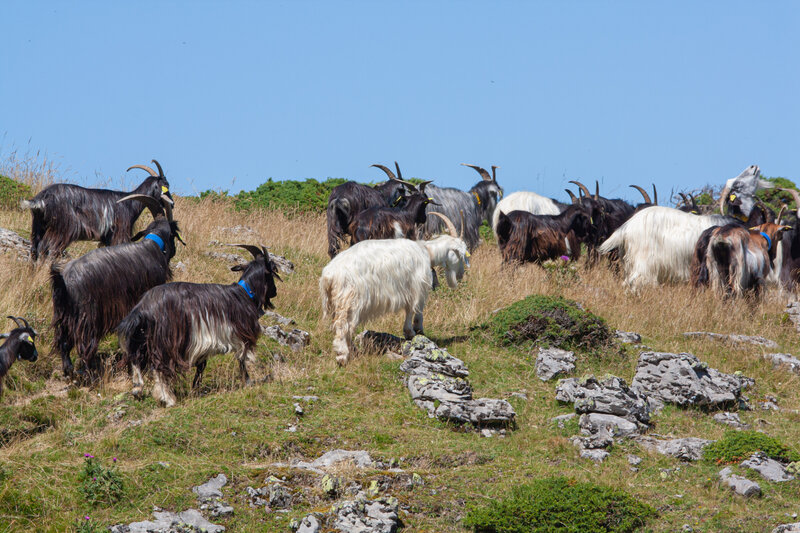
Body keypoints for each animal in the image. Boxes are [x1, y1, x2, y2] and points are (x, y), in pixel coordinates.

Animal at [23, 160, 173, 264]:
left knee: (35, 249)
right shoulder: (119, 234)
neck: (130, 203)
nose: (172, 203)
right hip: (61, 230)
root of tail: (42, 198)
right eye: (166, 185)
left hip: (38, 226)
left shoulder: (106, 239)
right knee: (48, 249)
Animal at [51, 194, 184, 378]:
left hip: (64, 316)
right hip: (87, 318)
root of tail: (64, 280)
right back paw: (88, 373)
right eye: (173, 235)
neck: (153, 246)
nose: (174, 251)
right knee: (85, 346)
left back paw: (68, 370)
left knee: (63, 342)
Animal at [117, 243, 282, 406]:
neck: (245, 294)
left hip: (142, 336)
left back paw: (137, 389)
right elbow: (242, 360)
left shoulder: (205, 344)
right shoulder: (243, 336)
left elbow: (202, 366)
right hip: (166, 340)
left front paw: (196, 388)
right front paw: (247, 382)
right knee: (159, 365)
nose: (275, 292)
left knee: (136, 357)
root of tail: (143, 308)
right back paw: (168, 399)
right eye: (272, 272)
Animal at [318, 212, 468, 366]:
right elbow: (414, 309)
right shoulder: (416, 286)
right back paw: (342, 356)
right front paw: (414, 331)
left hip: (337, 301)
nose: (461, 275)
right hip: (349, 300)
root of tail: (329, 275)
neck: (427, 251)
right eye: (460, 255)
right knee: (343, 326)